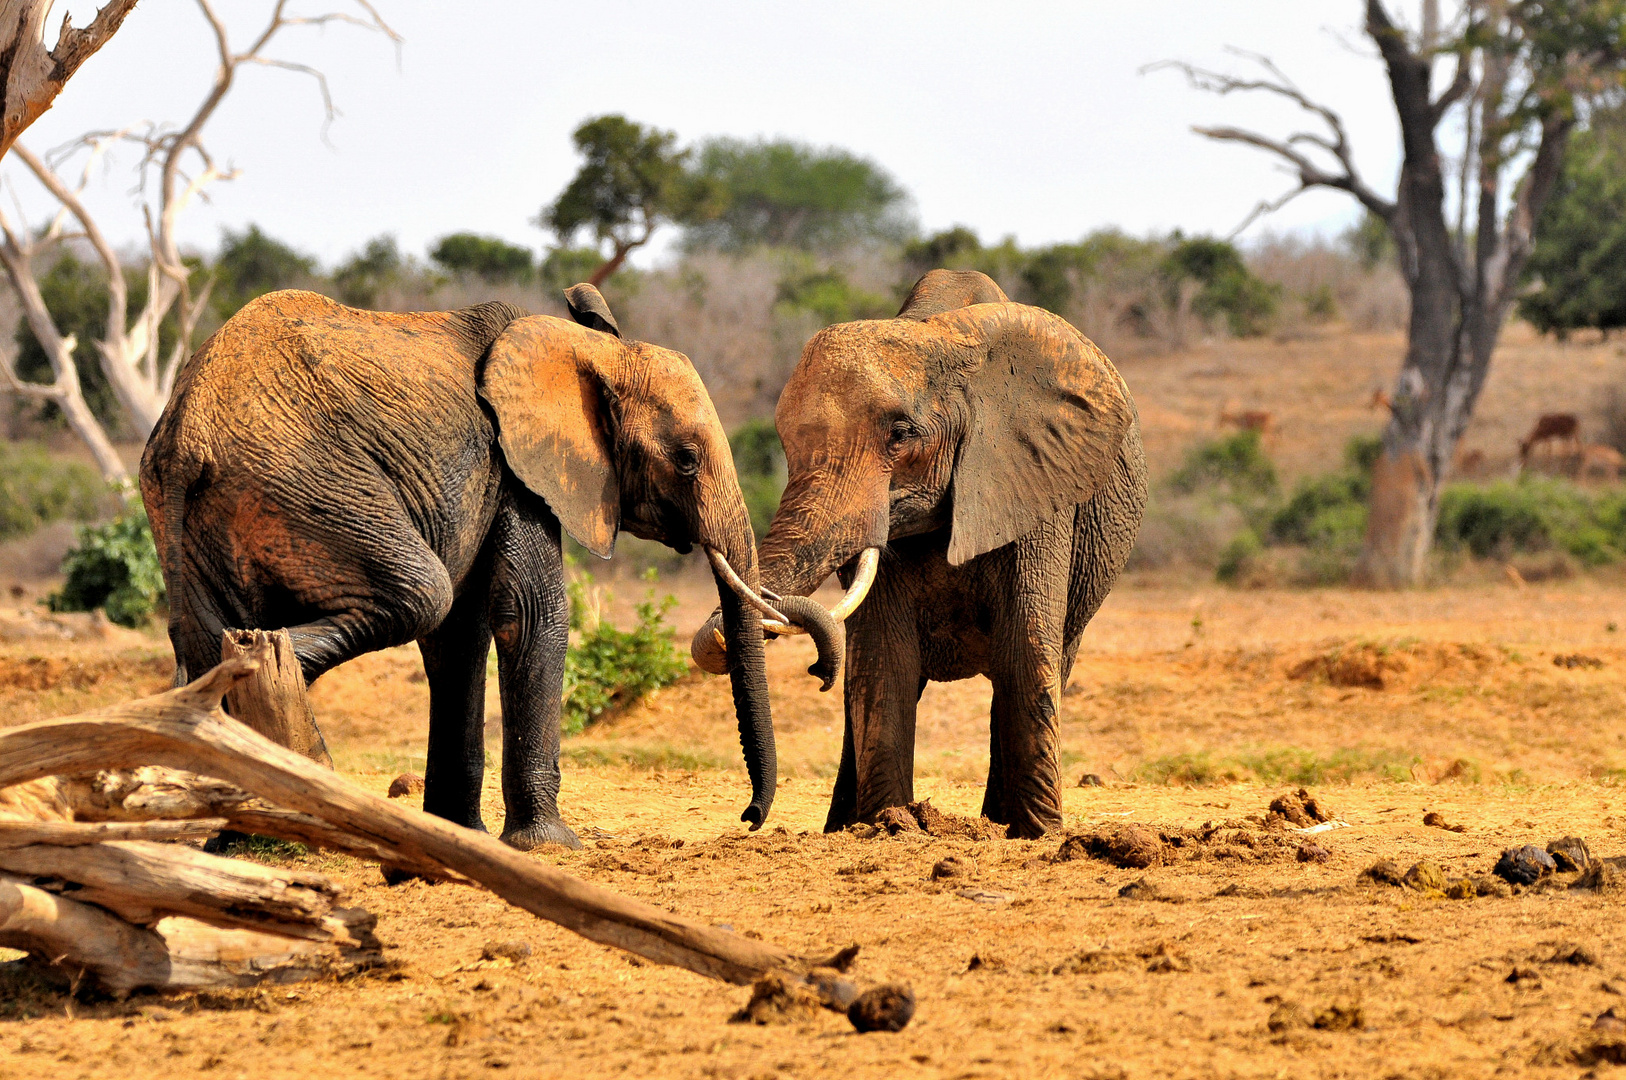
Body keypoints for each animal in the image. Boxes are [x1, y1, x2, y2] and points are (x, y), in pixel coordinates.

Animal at [136, 286, 839, 852]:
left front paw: (459, 834)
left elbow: (461, 636)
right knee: (420, 594)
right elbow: (526, 612)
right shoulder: (518, 471)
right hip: (313, 487)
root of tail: (186, 438)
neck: (580, 347)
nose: (748, 818)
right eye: (687, 460)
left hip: (192, 517)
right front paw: (550, 846)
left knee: (203, 633)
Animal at [692, 271, 1151, 845]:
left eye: (901, 434)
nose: (749, 817)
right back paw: (846, 826)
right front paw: (890, 827)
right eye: (785, 443)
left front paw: (1038, 836)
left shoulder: (1034, 485)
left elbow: (1026, 650)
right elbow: (885, 660)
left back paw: (999, 823)